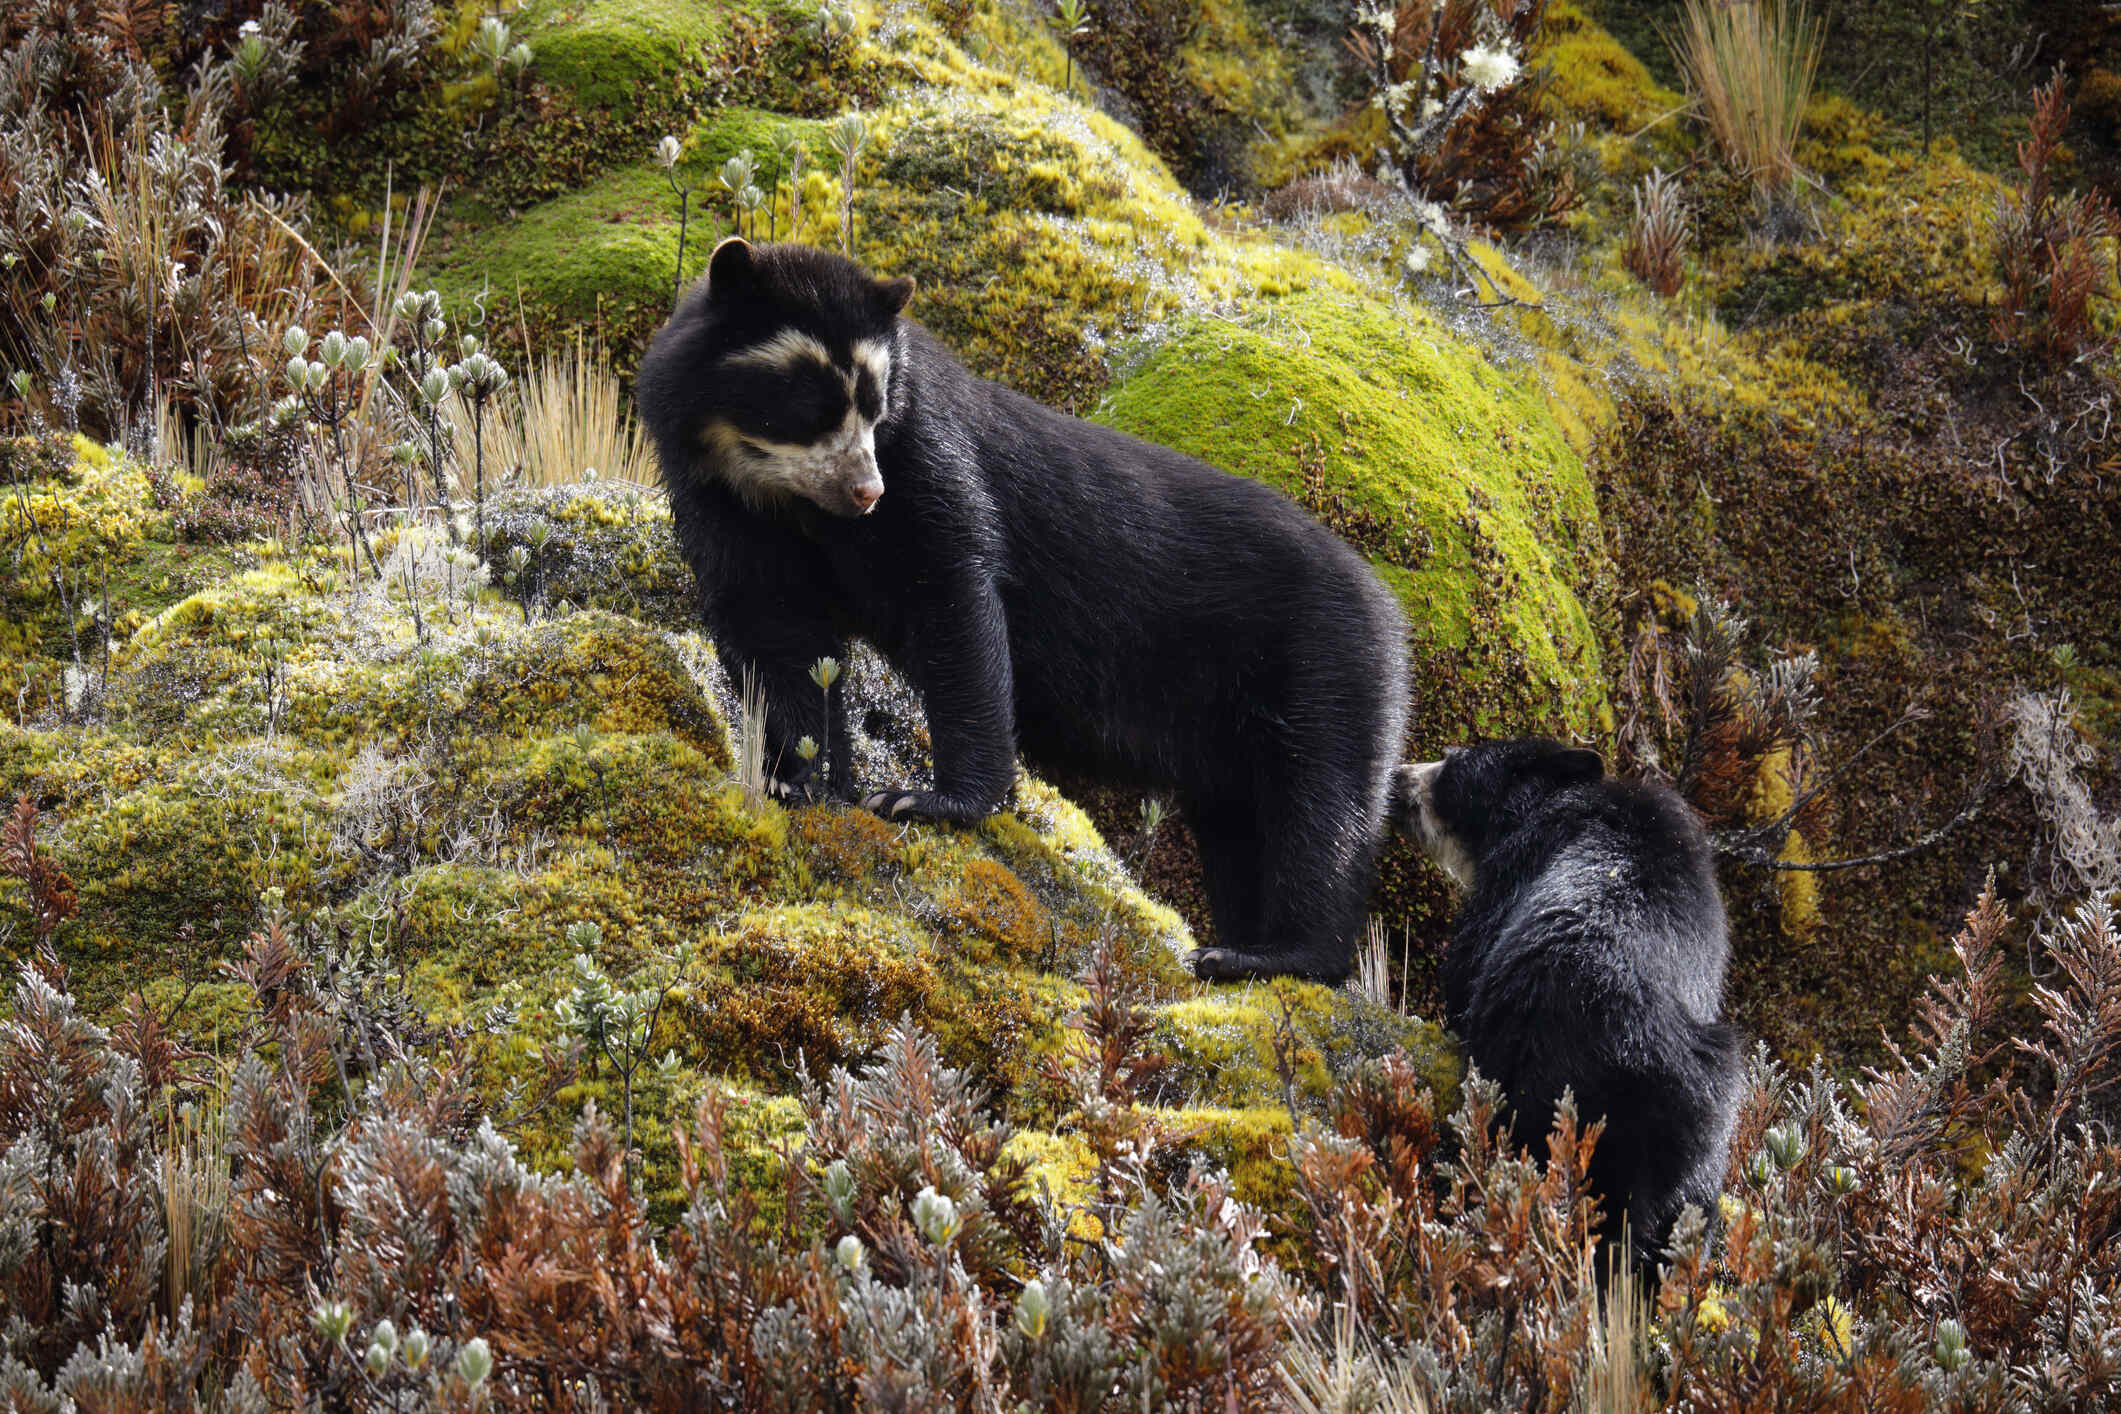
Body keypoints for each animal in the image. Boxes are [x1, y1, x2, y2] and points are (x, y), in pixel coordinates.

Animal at [636, 235, 1416, 983]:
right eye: (812, 404)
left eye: (876, 404)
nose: (865, 492)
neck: (782, 495)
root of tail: (1389, 609)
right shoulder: (720, 499)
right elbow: (772, 627)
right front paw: (799, 780)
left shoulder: (926, 463)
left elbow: (950, 600)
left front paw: (923, 800)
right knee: (1245, 832)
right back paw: (1240, 945)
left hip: (1324, 673)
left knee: (1318, 814)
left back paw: (1271, 957)